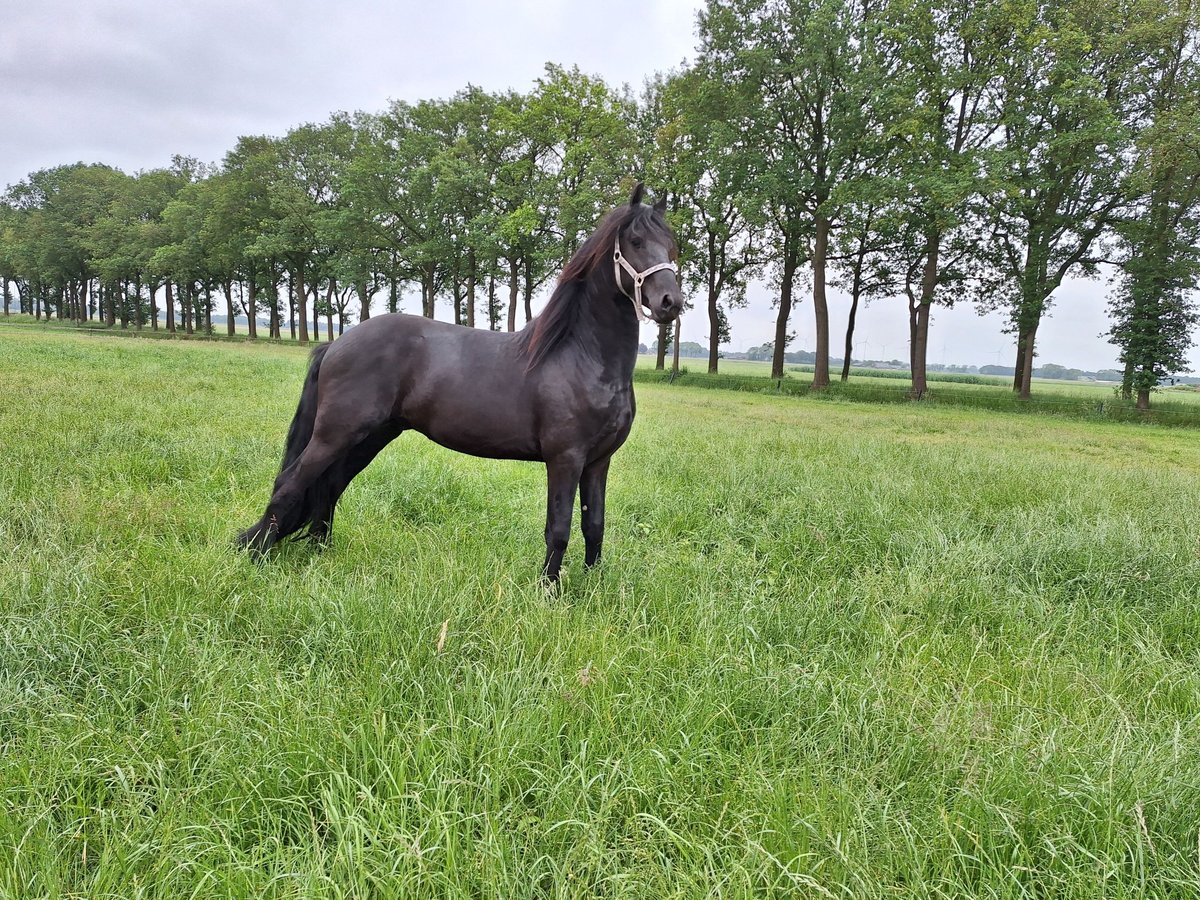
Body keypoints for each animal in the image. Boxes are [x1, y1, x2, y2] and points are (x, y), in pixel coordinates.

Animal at [236, 186, 686, 580]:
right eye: (635, 240)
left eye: (672, 245)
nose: (671, 302)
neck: (584, 358)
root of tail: (337, 343)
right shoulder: (566, 459)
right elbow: (558, 530)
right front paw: (549, 592)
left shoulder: (598, 462)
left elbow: (595, 528)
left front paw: (591, 588)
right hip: (336, 433)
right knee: (291, 482)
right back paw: (256, 552)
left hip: (371, 436)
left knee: (329, 485)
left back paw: (318, 552)